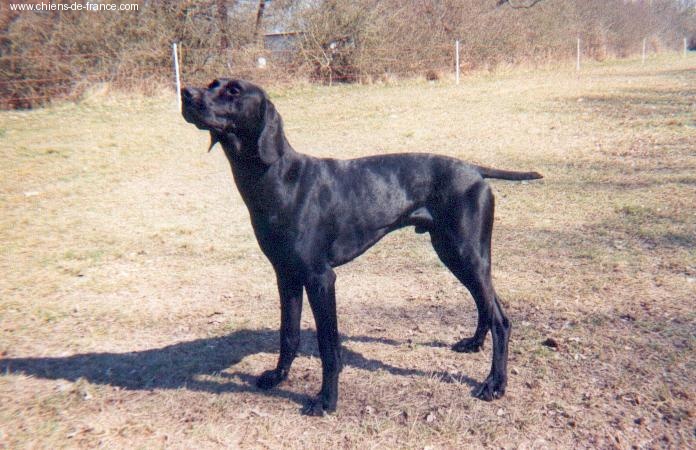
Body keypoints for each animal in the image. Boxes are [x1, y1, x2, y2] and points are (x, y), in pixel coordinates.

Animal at [181, 79, 544, 416]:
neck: (278, 179)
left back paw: (494, 384)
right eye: (212, 84)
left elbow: (328, 348)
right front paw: (278, 377)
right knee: (487, 305)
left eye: (233, 91)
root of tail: (474, 169)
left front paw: (326, 400)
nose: (186, 93)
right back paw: (474, 344)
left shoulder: (320, 278)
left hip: (466, 254)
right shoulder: (286, 275)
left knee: (500, 318)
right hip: (454, 253)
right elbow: (288, 334)